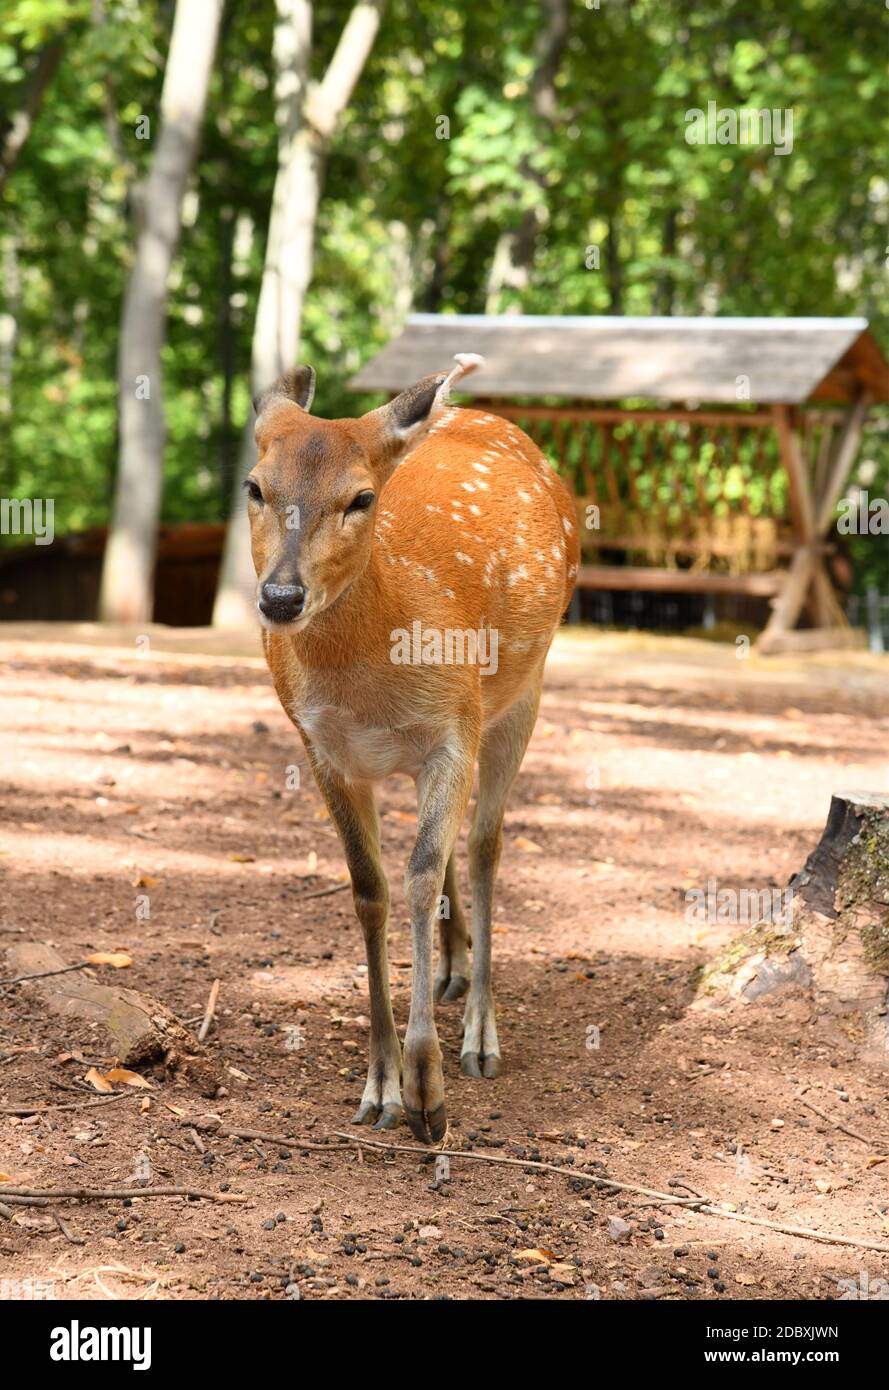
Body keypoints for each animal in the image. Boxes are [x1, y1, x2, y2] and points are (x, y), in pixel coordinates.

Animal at [243, 350, 580, 1139]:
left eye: (362, 497)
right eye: (255, 487)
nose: (281, 598)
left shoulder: (455, 725)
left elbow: (420, 874)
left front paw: (428, 1091)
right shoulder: (324, 749)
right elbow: (371, 888)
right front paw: (381, 1085)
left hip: (520, 692)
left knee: (485, 842)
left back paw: (481, 1030)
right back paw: (453, 973)